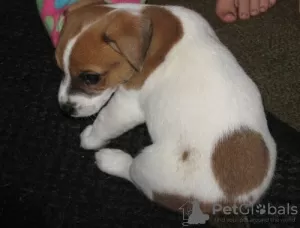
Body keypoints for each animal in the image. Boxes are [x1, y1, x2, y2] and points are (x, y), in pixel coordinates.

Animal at [54, 0, 276, 214]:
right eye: (61, 70)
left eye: (91, 78)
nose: (65, 109)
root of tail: (232, 201)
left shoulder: (126, 105)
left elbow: (104, 121)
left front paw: (91, 138)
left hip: (149, 166)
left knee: (133, 172)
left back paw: (110, 159)